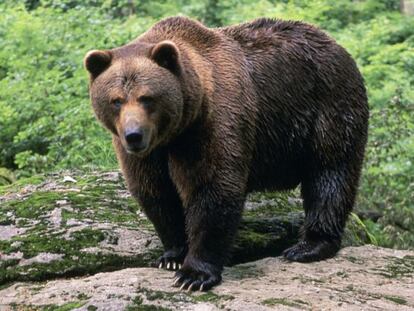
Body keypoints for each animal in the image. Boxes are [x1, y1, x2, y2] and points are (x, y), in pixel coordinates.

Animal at [84, 15, 368, 292]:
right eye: (116, 100)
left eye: (147, 98)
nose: (134, 135)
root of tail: (334, 43)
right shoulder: (149, 154)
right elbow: (156, 192)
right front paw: (172, 256)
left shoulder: (212, 123)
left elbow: (213, 188)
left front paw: (194, 274)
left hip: (328, 107)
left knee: (330, 172)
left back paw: (308, 246)